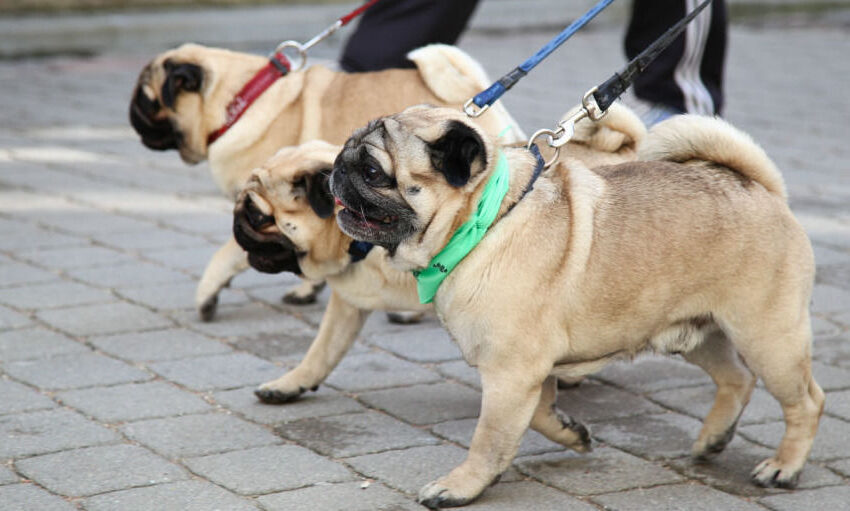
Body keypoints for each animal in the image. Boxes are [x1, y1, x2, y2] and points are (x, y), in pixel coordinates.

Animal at [129, 43, 524, 320]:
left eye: (145, 100)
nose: (131, 114)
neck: (239, 99)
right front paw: (310, 288)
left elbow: (229, 252)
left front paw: (209, 293)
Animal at [232, 104, 644, 406]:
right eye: (341, 157)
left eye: (258, 216)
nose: (236, 224)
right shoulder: (347, 305)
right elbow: (321, 352)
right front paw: (292, 383)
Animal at [330, 107, 820, 508]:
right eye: (347, 151)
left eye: (372, 170)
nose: (335, 168)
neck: (484, 222)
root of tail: (759, 187)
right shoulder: (530, 372)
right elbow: (539, 415)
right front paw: (573, 434)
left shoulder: (510, 374)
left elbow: (489, 439)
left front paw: (461, 486)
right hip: (694, 333)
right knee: (736, 379)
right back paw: (713, 440)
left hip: (767, 336)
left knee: (805, 401)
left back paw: (784, 467)